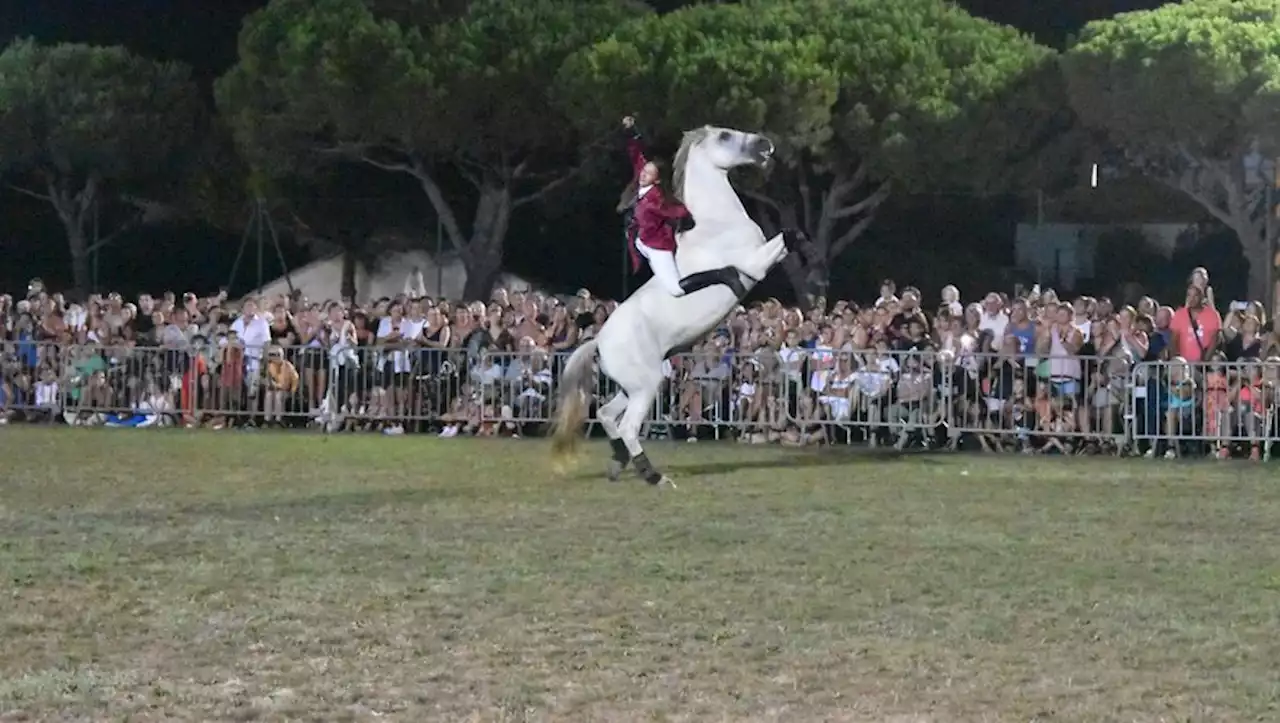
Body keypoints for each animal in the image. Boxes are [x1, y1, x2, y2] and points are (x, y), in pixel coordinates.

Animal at [550, 125, 788, 483]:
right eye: (725, 136)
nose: (765, 145)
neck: (719, 224)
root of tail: (598, 342)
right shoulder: (756, 265)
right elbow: (784, 241)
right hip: (645, 385)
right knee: (627, 426)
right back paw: (653, 476)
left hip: (632, 386)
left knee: (606, 414)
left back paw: (619, 465)